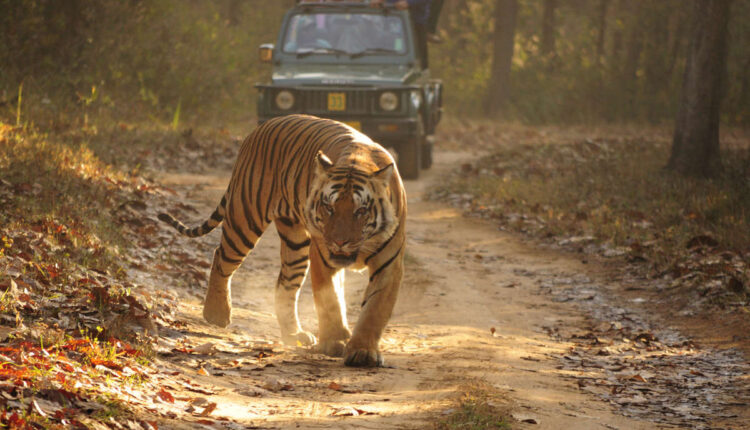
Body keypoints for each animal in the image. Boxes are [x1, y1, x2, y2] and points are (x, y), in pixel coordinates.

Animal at [156, 114, 408, 366]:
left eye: (361, 211)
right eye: (329, 207)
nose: (339, 242)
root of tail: (260, 128)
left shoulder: (389, 264)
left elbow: (374, 309)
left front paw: (362, 351)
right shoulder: (322, 256)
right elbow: (330, 301)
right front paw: (333, 342)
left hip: (295, 243)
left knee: (284, 284)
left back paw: (293, 334)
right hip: (245, 218)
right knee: (221, 257)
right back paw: (217, 313)